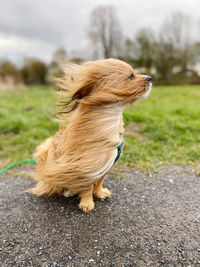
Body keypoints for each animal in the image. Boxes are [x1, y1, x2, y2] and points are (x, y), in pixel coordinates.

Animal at [28, 59, 152, 214]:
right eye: (131, 76)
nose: (150, 78)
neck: (110, 118)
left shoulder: (104, 165)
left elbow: (99, 182)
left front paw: (99, 193)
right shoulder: (85, 167)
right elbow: (87, 187)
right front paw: (87, 203)